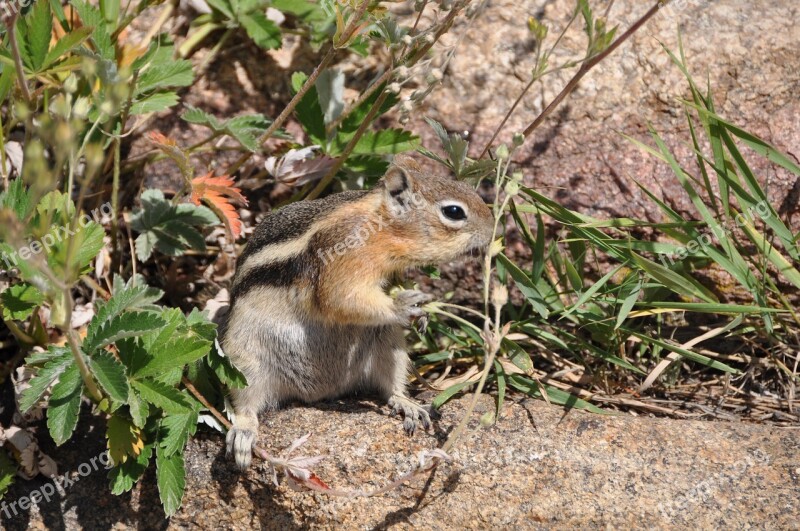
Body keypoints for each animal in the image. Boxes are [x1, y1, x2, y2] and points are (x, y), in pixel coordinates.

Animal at [220, 155, 494, 470]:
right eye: (453, 211)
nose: (493, 229)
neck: (380, 227)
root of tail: (319, 394)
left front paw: (422, 311)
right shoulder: (343, 255)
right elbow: (340, 298)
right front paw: (403, 305)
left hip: (387, 343)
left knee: (389, 385)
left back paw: (407, 403)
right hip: (244, 359)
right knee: (246, 404)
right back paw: (244, 433)